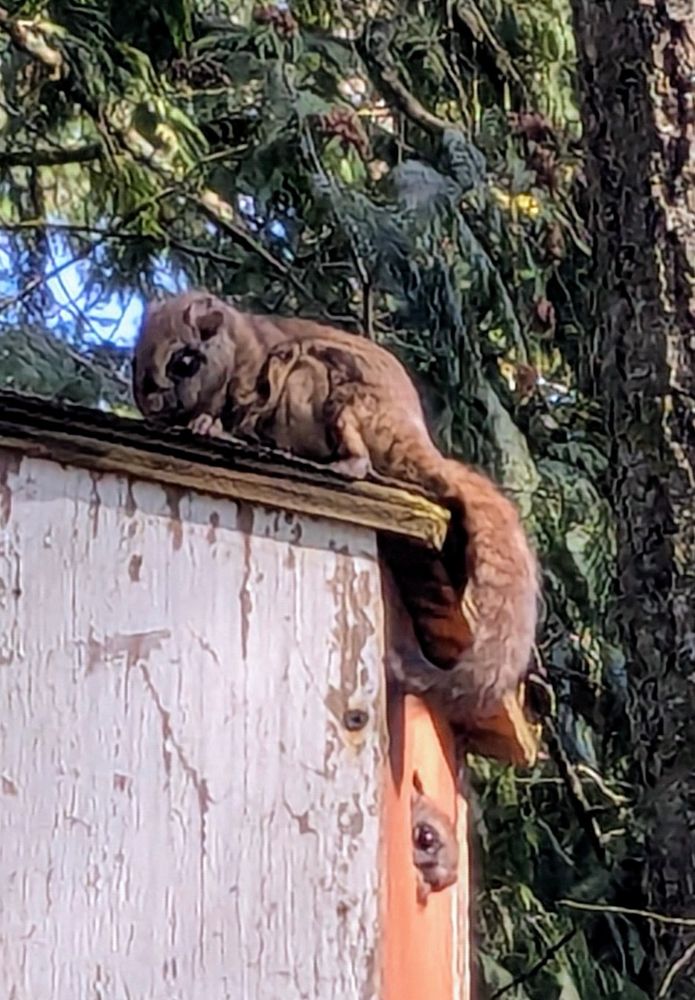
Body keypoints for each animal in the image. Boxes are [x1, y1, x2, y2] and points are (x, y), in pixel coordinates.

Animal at [133, 290, 540, 724]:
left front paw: (209, 426)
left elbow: (243, 418)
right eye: (136, 363)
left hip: (330, 392)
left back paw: (343, 462)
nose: (153, 406)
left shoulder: (257, 383)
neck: (240, 346)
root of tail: (411, 438)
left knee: (358, 455)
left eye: (184, 362)